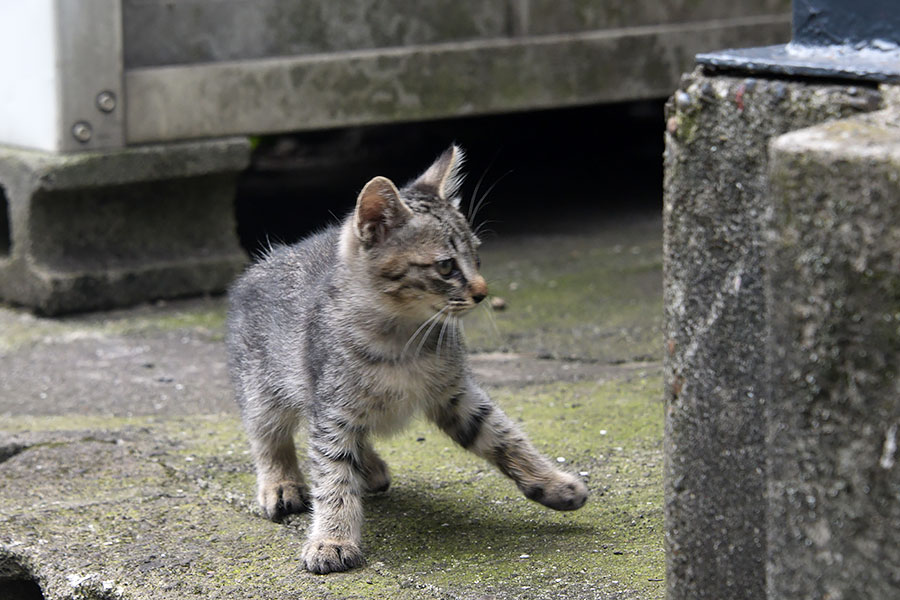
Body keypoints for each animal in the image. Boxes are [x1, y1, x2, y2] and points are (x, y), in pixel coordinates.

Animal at [229, 146, 588, 576]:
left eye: (478, 255)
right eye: (446, 266)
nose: (483, 292)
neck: (403, 338)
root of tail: (267, 261)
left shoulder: (457, 394)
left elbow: (504, 436)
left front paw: (551, 483)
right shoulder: (332, 409)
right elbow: (332, 475)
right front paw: (332, 539)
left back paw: (368, 467)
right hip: (262, 383)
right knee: (268, 433)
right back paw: (280, 483)